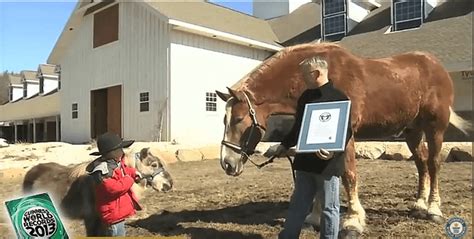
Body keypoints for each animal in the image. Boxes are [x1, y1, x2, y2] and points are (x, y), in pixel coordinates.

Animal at [216, 42, 470, 235]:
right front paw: (315, 217)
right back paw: (419, 203)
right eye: (224, 119)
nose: (227, 163)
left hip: (435, 127)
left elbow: (348, 175)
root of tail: (436, 66)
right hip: (413, 131)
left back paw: (433, 209)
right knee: (421, 163)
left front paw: (353, 220)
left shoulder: (346, 136)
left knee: (434, 163)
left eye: (238, 119)